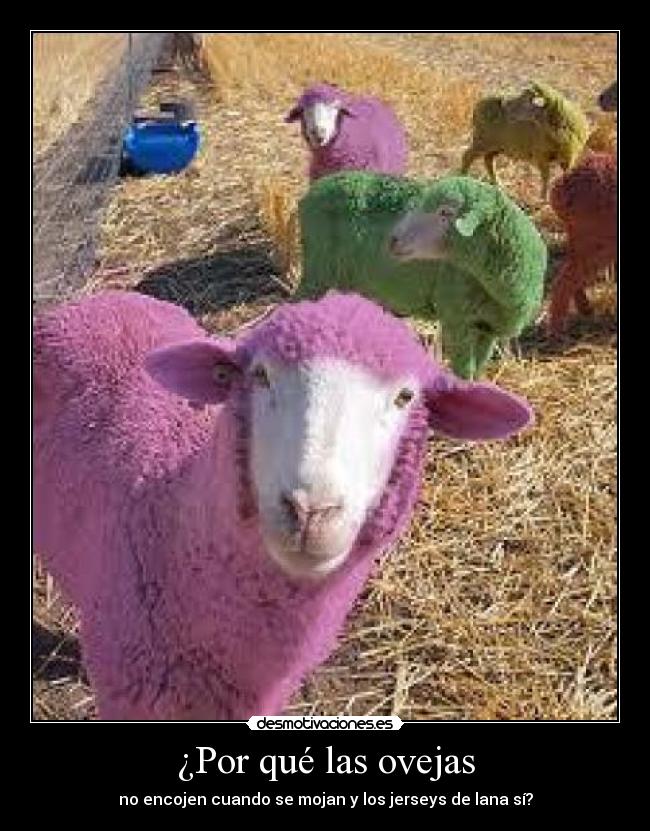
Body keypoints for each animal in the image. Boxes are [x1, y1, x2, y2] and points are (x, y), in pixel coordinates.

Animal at [297, 171, 547, 380]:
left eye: (445, 212)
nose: (393, 240)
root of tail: (313, 190)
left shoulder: (488, 328)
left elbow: (477, 371)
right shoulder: (457, 318)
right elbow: (464, 372)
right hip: (318, 271)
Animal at [460, 81, 590, 199]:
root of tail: (477, 107)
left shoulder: (568, 159)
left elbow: (565, 175)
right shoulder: (541, 156)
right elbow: (546, 176)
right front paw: (543, 198)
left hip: (496, 146)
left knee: (488, 160)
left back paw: (498, 185)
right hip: (483, 140)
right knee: (468, 156)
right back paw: (463, 177)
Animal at [546, 151, 617, 335]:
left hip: (579, 242)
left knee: (570, 275)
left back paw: (587, 311)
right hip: (596, 245)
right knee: (564, 281)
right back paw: (557, 333)